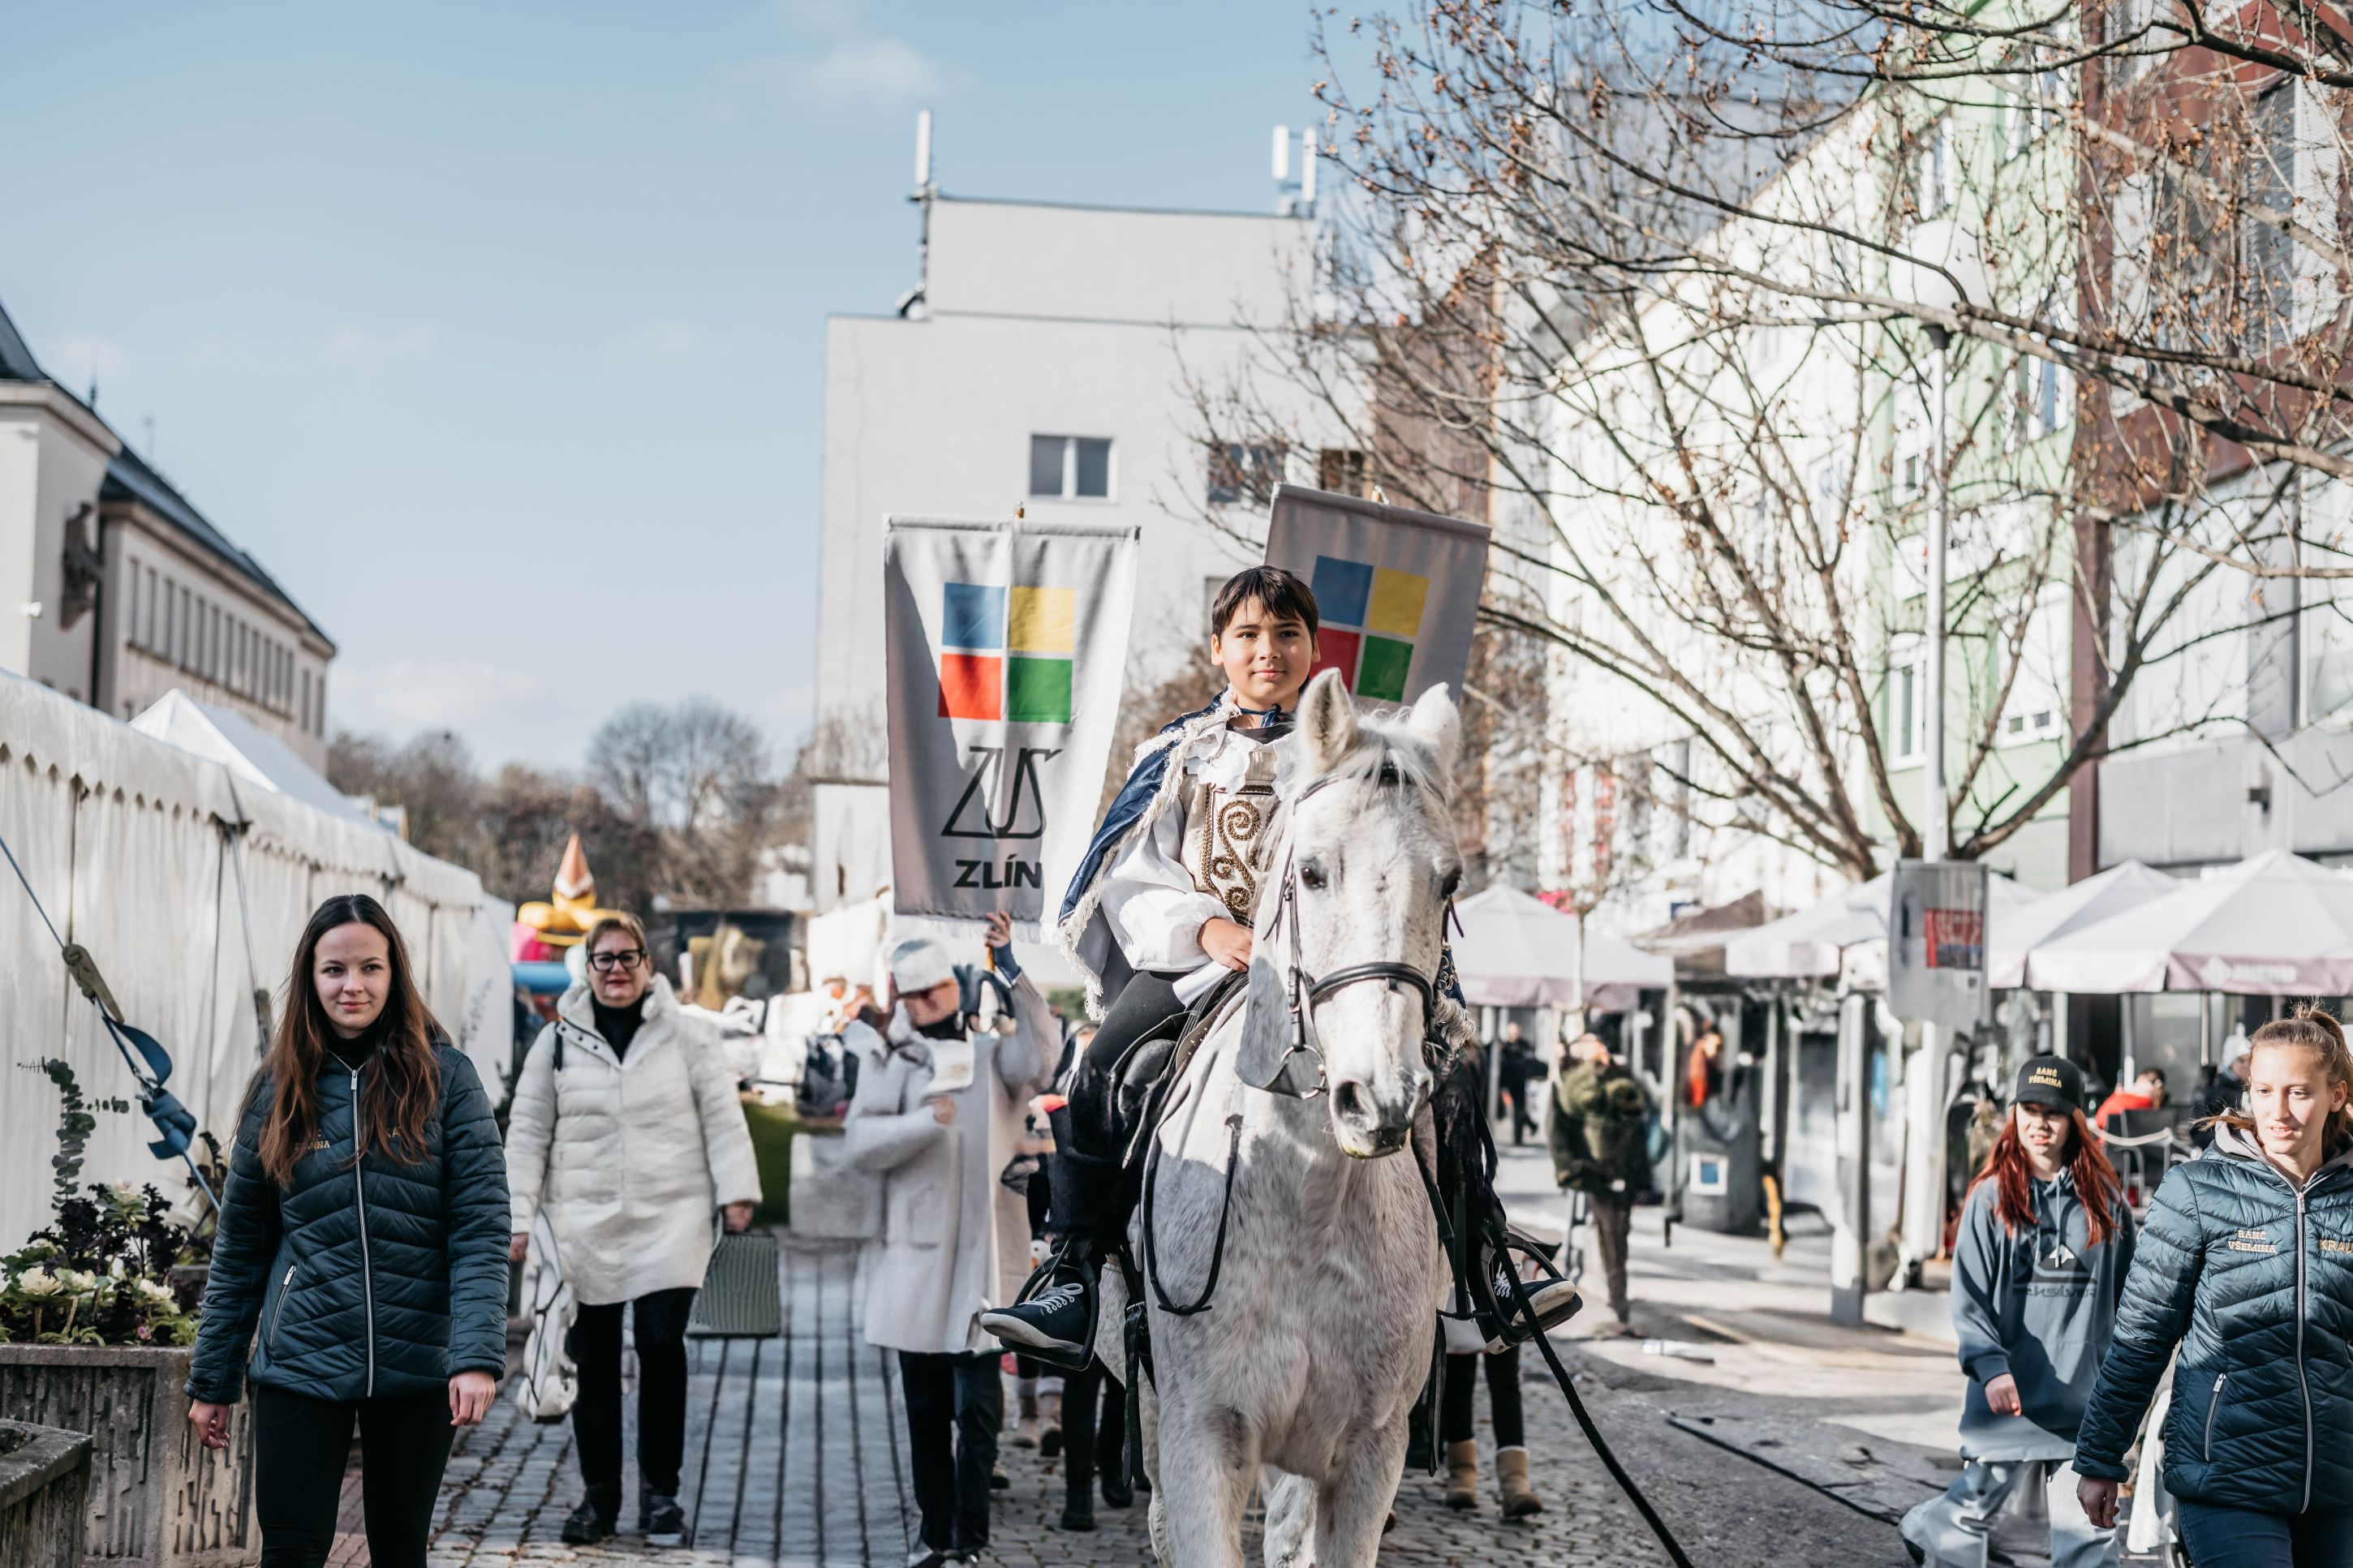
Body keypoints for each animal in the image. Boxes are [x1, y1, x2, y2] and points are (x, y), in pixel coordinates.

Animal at [1096, 668, 1466, 1568]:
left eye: (1448, 880)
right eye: (1313, 871)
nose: (1379, 1096)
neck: (1310, 1199)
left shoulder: (1366, 1453)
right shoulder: (1203, 1436)